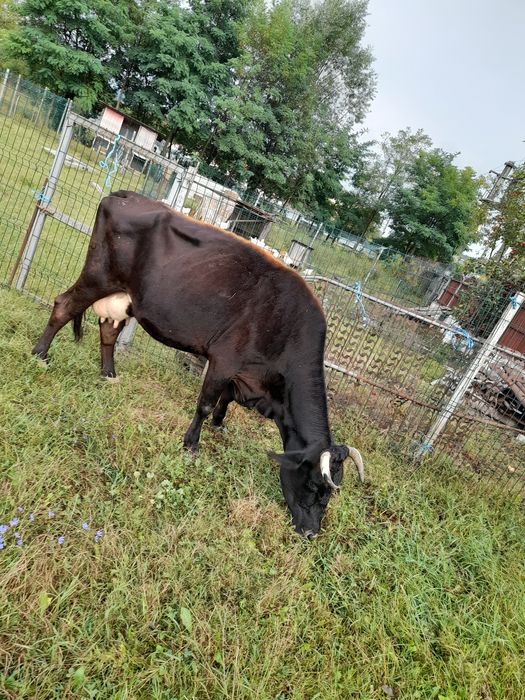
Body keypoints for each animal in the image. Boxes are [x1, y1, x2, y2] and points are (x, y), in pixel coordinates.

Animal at [32, 191, 364, 537]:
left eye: (330, 493)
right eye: (314, 486)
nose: (312, 532)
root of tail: (123, 195)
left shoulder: (243, 373)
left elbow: (225, 399)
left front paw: (219, 425)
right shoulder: (224, 359)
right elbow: (205, 403)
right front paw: (191, 445)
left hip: (124, 298)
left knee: (108, 331)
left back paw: (109, 375)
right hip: (98, 276)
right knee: (63, 306)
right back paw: (40, 355)